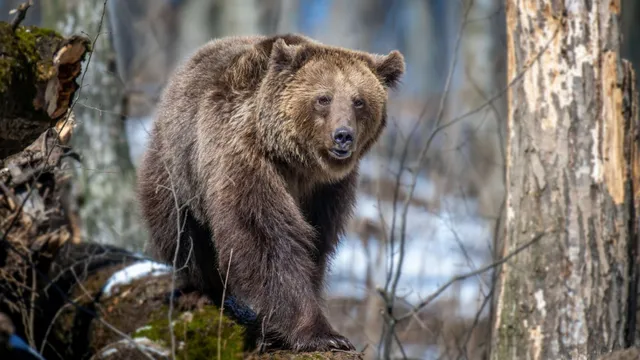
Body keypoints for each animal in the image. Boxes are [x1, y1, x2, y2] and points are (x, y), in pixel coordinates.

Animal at [136, 33, 404, 352]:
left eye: (359, 101)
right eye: (323, 98)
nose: (343, 136)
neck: (298, 162)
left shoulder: (328, 190)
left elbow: (316, 245)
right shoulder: (246, 157)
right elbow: (266, 237)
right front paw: (323, 334)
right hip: (178, 168)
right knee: (181, 234)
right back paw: (199, 289)